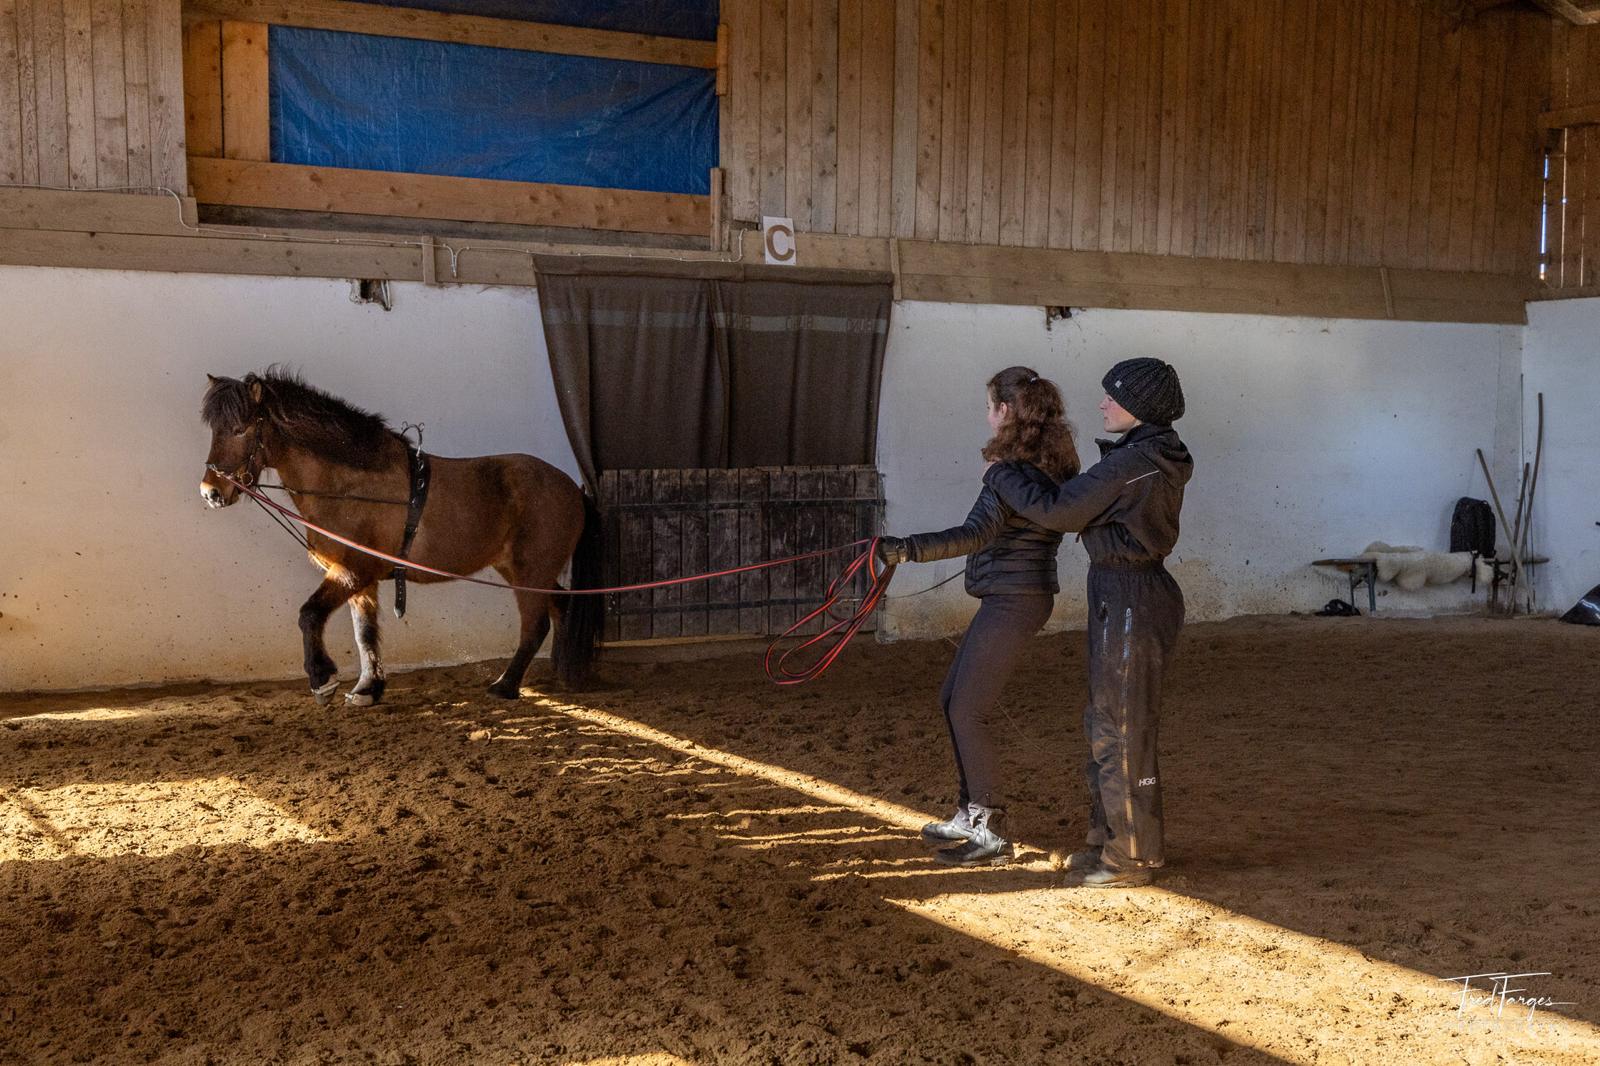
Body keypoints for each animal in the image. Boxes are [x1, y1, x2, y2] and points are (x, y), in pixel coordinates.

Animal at [198, 369, 601, 701]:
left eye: (241, 429)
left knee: (535, 625)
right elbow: (365, 632)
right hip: (521, 570)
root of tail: (572, 488)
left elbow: (309, 615)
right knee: (561, 607)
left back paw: (506, 685)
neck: (348, 486)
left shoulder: (353, 570)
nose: (211, 491)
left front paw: (322, 678)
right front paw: (368, 687)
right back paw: (565, 672)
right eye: (215, 430)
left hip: (530, 570)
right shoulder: (362, 579)